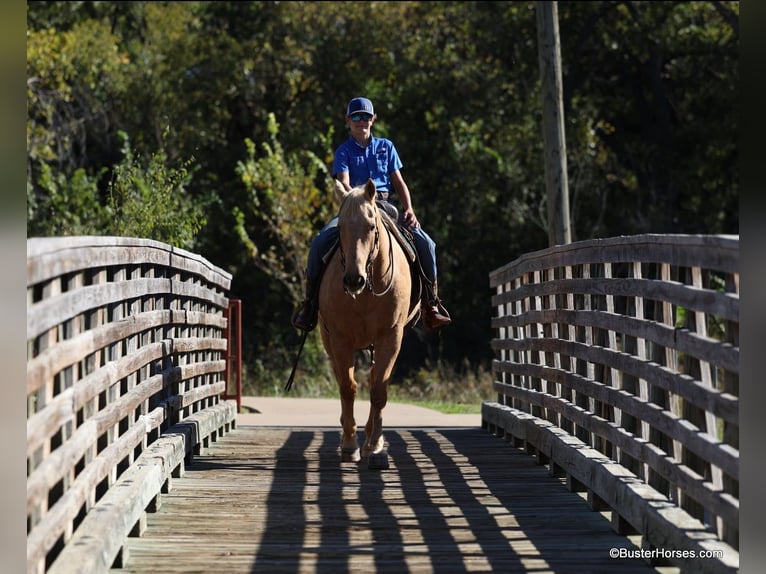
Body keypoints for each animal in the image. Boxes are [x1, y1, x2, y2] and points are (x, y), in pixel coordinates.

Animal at [318, 178, 419, 470]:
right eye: (340, 228)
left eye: (372, 226)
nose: (354, 280)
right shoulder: (340, 339)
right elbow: (348, 388)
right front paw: (350, 445)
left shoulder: (390, 337)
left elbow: (378, 390)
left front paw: (374, 447)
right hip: (329, 341)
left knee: (375, 380)